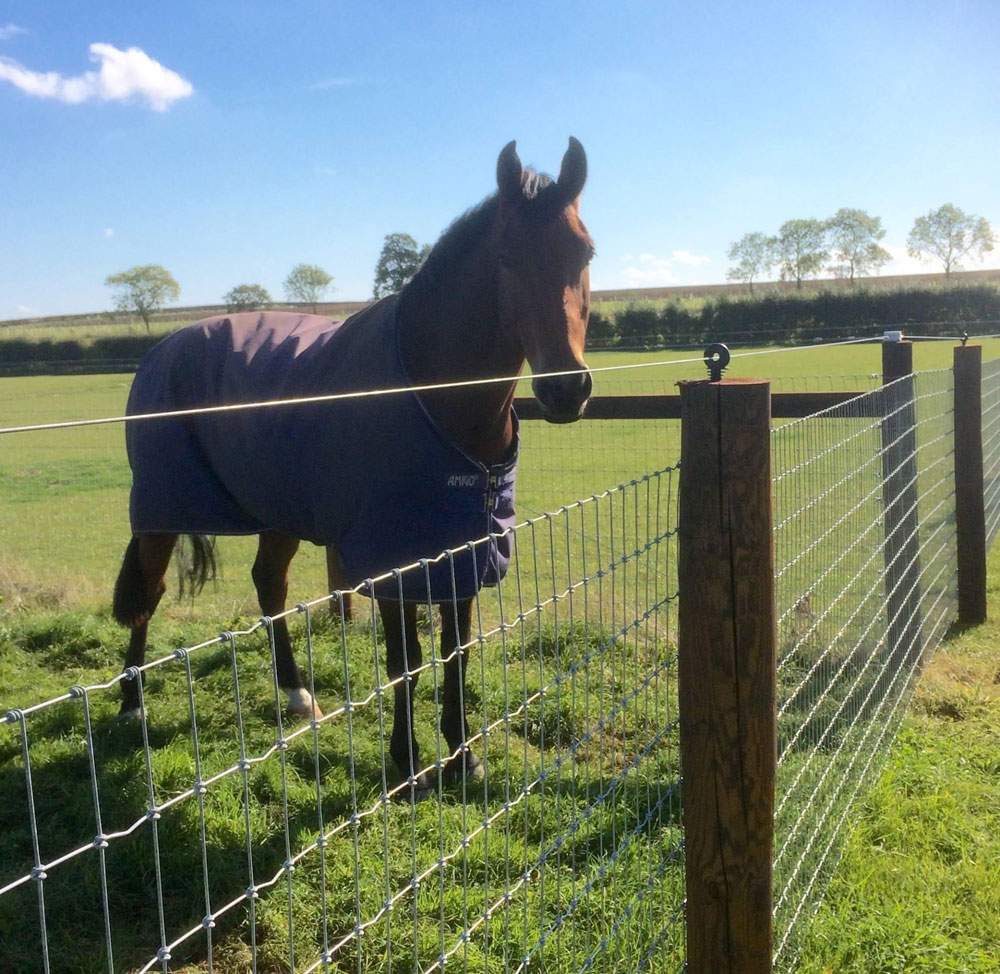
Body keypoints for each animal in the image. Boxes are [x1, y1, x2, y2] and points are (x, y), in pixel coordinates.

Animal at [111, 137, 592, 796]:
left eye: (585, 252)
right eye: (506, 257)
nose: (567, 388)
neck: (436, 398)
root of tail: (161, 347)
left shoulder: (463, 552)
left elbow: (458, 651)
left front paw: (464, 757)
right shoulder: (391, 559)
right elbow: (406, 662)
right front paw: (408, 762)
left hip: (277, 511)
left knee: (269, 586)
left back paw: (295, 695)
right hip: (162, 509)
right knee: (148, 592)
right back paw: (132, 705)